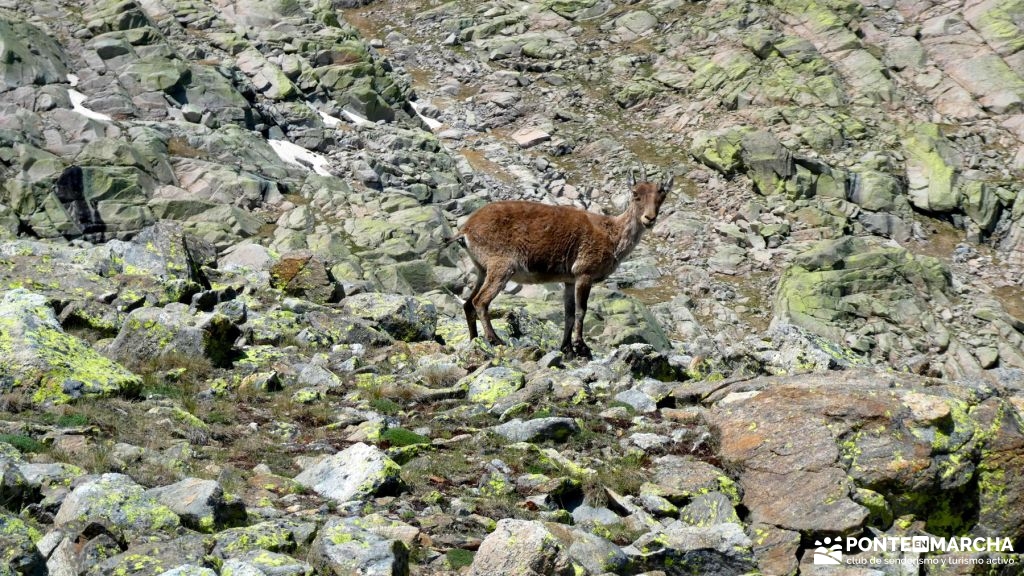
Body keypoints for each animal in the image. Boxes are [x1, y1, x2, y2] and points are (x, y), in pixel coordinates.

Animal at [452, 165, 673, 360]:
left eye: (661, 196)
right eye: (635, 193)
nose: (649, 218)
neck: (612, 234)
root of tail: (466, 229)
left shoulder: (569, 280)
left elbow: (569, 314)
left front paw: (566, 348)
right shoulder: (584, 273)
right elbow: (581, 311)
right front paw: (581, 347)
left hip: (481, 269)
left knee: (468, 303)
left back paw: (474, 340)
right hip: (501, 266)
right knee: (480, 301)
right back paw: (495, 340)